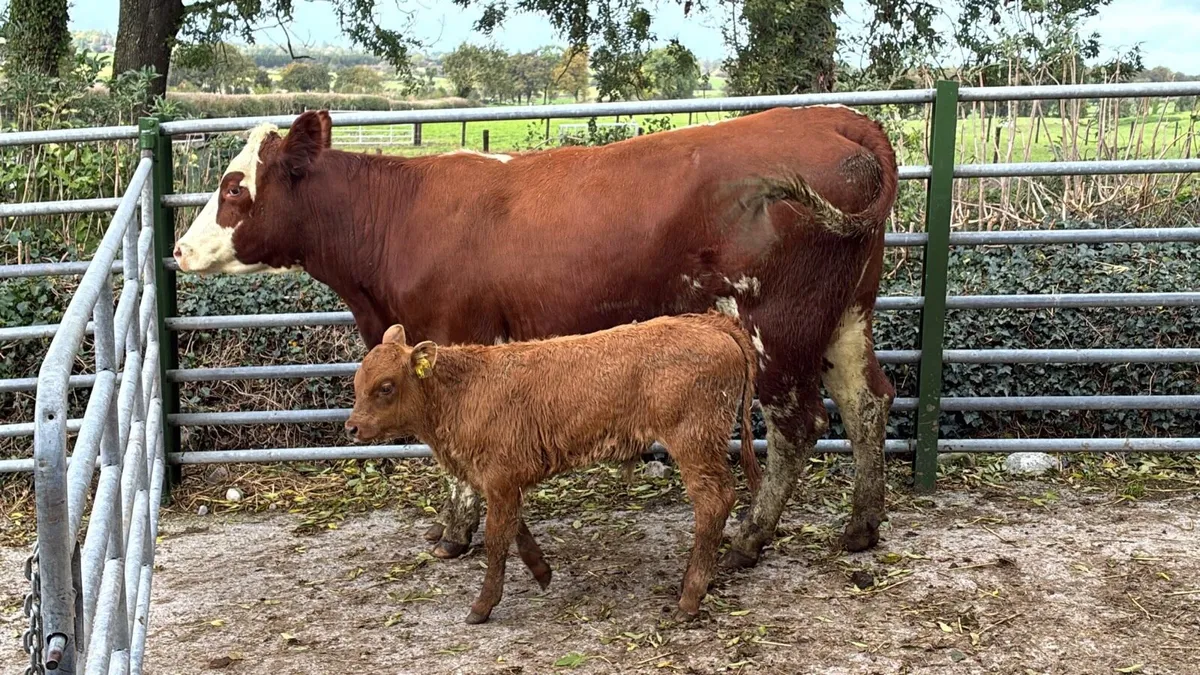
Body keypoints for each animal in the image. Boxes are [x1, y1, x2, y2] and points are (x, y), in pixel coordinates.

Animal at [173, 105, 898, 570]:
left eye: (233, 187)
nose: (179, 249)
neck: (399, 218)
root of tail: (837, 118)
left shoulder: (453, 334)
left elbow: (452, 455)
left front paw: (453, 532)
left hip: (775, 327)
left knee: (799, 426)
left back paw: (751, 538)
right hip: (845, 318)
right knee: (868, 402)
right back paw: (861, 526)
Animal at [344, 312, 762, 623]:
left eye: (385, 386)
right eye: (357, 381)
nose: (351, 427)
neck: (464, 390)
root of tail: (711, 324)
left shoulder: (499, 479)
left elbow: (497, 539)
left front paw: (482, 605)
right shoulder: (502, 480)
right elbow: (516, 530)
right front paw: (542, 571)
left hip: (695, 444)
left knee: (713, 503)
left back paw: (690, 598)